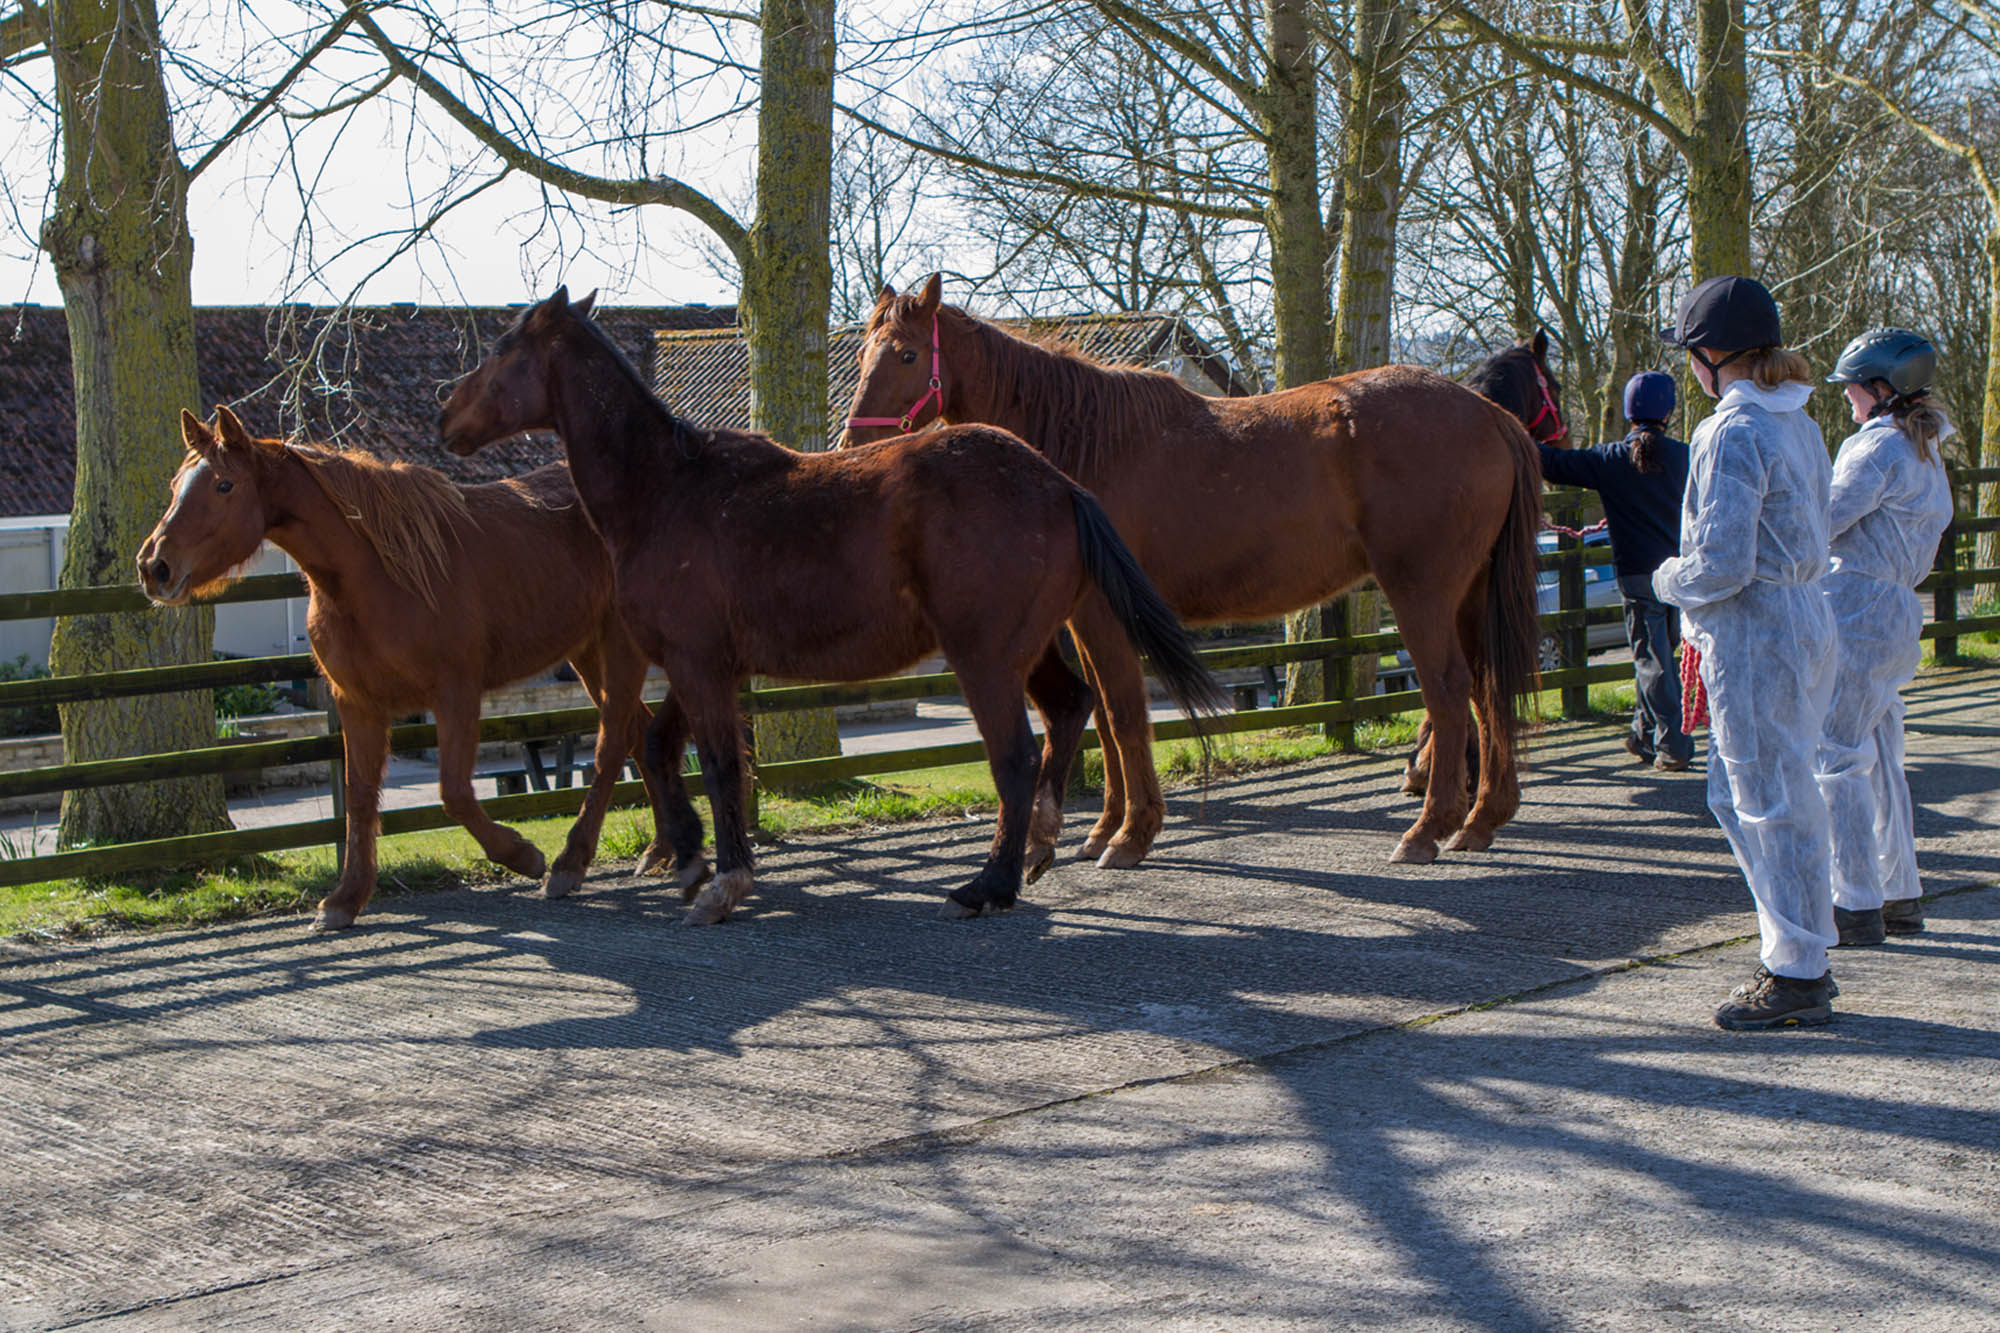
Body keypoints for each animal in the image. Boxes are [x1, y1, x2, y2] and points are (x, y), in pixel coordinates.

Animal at [131, 404, 696, 924]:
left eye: (224, 485)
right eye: (176, 484)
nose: (155, 566)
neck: (378, 575)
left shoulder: (456, 694)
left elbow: (454, 792)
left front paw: (521, 855)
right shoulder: (356, 703)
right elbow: (360, 798)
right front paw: (346, 898)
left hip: (618, 645)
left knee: (609, 746)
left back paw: (568, 864)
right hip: (586, 651)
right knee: (638, 732)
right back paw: (662, 851)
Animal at [436, 286, 1224, 920]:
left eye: (504, 348)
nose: (446, 411)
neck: (665, 489)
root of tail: (1058, 483)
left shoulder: (696, 663)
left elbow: (719, 765)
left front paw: (724, 883)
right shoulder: (701, 665)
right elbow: (660, 750)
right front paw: (688, 858)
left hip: (984, 658)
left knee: (1015, 756)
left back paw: (988, 885)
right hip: (1024, 651)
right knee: (1070, 709)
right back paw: (1037, 847)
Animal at [844, 274, 1544, 868]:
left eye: (906, 354)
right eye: (867, 352)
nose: (854, 446)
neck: (1081, 442)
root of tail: (1487, 414)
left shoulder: (1103, 613)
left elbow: (1125, 713)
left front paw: (1131, 835)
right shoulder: (1086, 619)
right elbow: (1106, 716)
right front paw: (1105, 828)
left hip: (1421, 591)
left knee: (1449, 690)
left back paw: (1428, 830)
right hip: (1468, 595)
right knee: (1486, 688)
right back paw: (1480, 820)